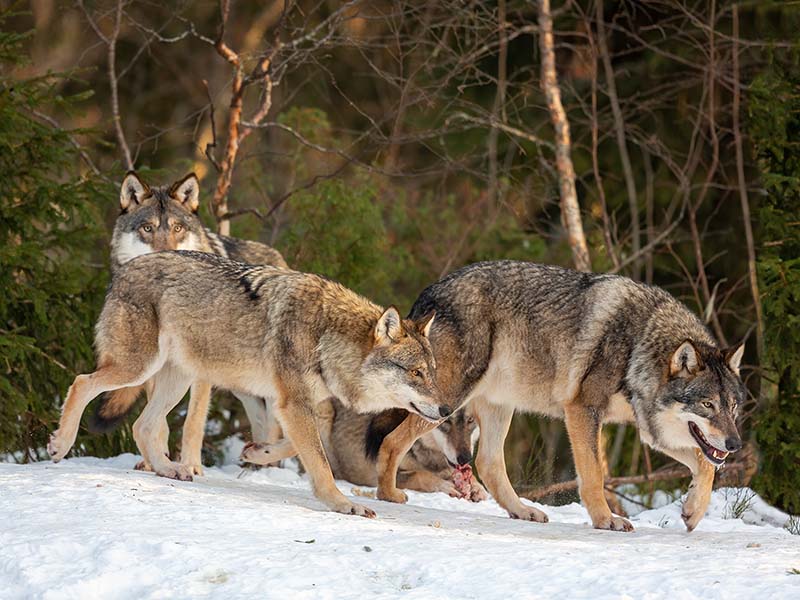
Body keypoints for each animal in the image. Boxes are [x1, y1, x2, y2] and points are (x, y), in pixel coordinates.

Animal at [47, 251, 447, 516]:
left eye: (432, 371)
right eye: (416, 373)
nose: (445, 409)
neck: (327, 335)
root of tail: (124, 268)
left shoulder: (303, 405)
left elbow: (295, 447)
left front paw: (257, 453)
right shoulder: (293, 403)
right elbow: (320, 463)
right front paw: (341, 503)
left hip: (179, 378)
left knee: (143, 426)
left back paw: (169, 469)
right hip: (137, 368)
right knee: (82, 382)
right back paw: (60, 444)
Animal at [91, 172, 287, 475]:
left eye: (178, 228)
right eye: (147, 228)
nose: (168, 256)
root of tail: (277, 257)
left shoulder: (200, 375)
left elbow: (193, 422)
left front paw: (191, 466)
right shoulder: (156, 369)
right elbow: (158, 421)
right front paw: (156, 461)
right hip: (238, 381)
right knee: (259, 417)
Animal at [240, 399, 487, 500]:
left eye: (470, 422)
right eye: (445, 423)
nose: (465, 457)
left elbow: (476, 483)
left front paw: (476, 489)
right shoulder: (382, 474)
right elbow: (421, 476)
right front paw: (447, 487)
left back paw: (257, 452)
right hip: (324, 416)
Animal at [373, 261, 745, 531]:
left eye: (733, 407)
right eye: (707, 405)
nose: (735, 444)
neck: (639, 345)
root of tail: (431, 292)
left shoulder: (648, 427)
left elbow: (705, 465)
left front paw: (693, 511)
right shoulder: (583, 410)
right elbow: (593, 474)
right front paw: (605, 520)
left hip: (497, 408)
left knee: (488, 464)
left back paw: (523, 511)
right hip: (445, 404)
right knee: (392, 441)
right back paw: (388, 494)